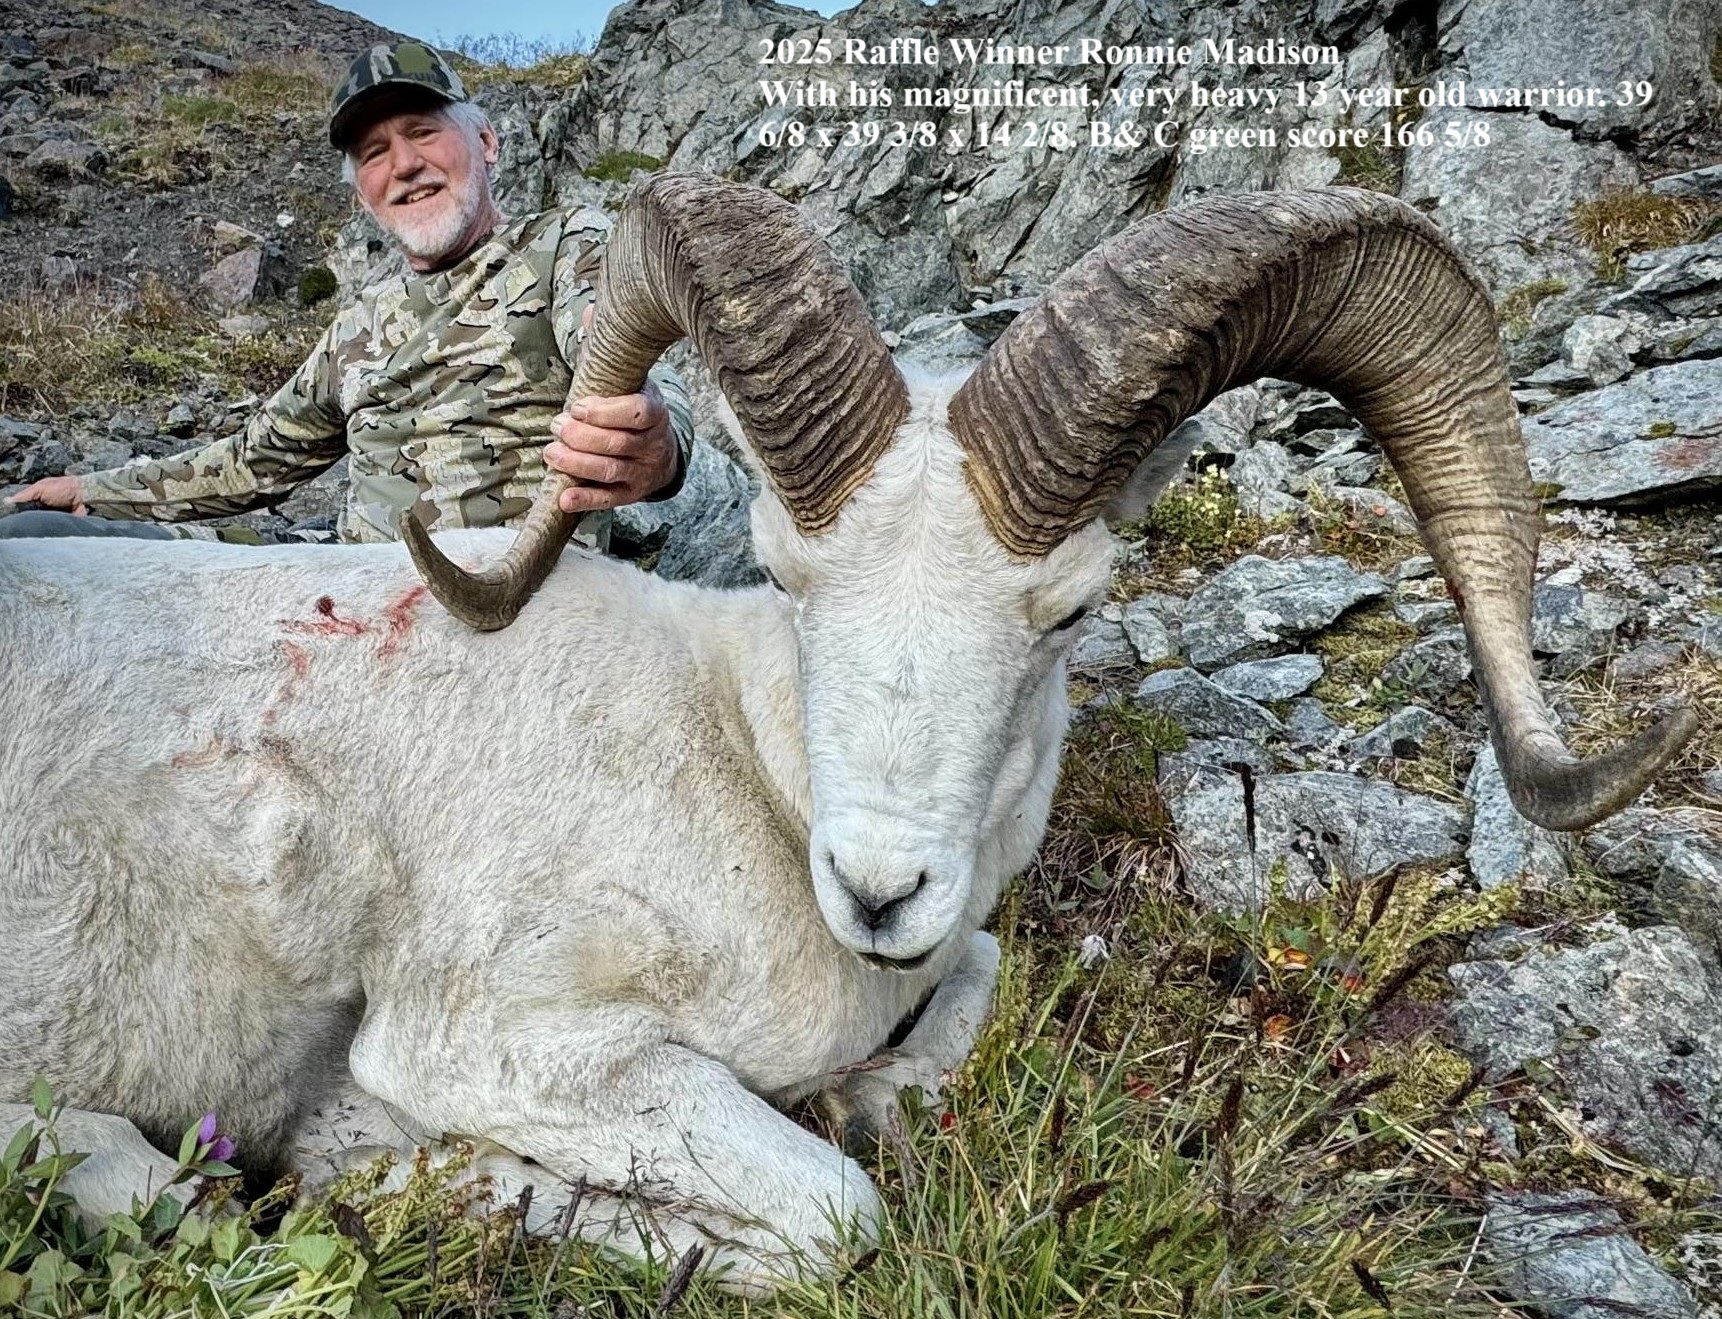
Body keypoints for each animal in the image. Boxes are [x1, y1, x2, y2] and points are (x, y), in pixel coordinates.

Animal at [0, 175, 1695, 1292]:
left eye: (1071, 607)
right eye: (789, 572)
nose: (879, 892)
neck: (733, 766)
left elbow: (960, 1003)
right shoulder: (496, 1035)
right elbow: (834, 1216)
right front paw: (421, 1168)